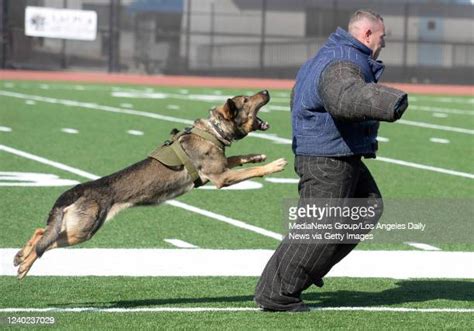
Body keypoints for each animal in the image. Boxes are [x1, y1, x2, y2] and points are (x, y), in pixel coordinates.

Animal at [14, 90, 286, 280]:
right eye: (246, 100)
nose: (266, 90)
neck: (213, 131)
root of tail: (74, 192)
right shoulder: (221, 178)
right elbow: (249, 170)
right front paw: (273, 165)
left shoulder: (221, 169)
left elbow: (240, 158)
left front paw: (257, 156)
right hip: (83, 230)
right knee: (45, 243)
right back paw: (26, 263)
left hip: (74, 226)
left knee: (41, 231)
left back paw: (20, 255)